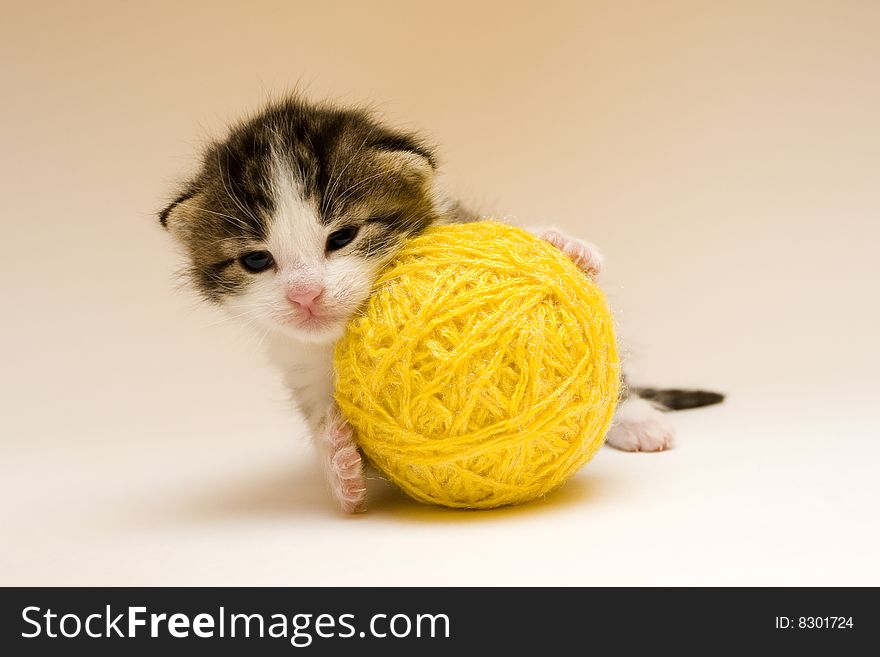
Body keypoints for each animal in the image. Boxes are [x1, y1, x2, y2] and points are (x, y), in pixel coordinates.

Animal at [160, 96, 720, 512]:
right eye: (257, 260)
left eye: (341, 237)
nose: (305, 294)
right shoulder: (299, 368)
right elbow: (322, 422)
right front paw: (339, 466)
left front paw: (562, 243)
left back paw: (639, 421)